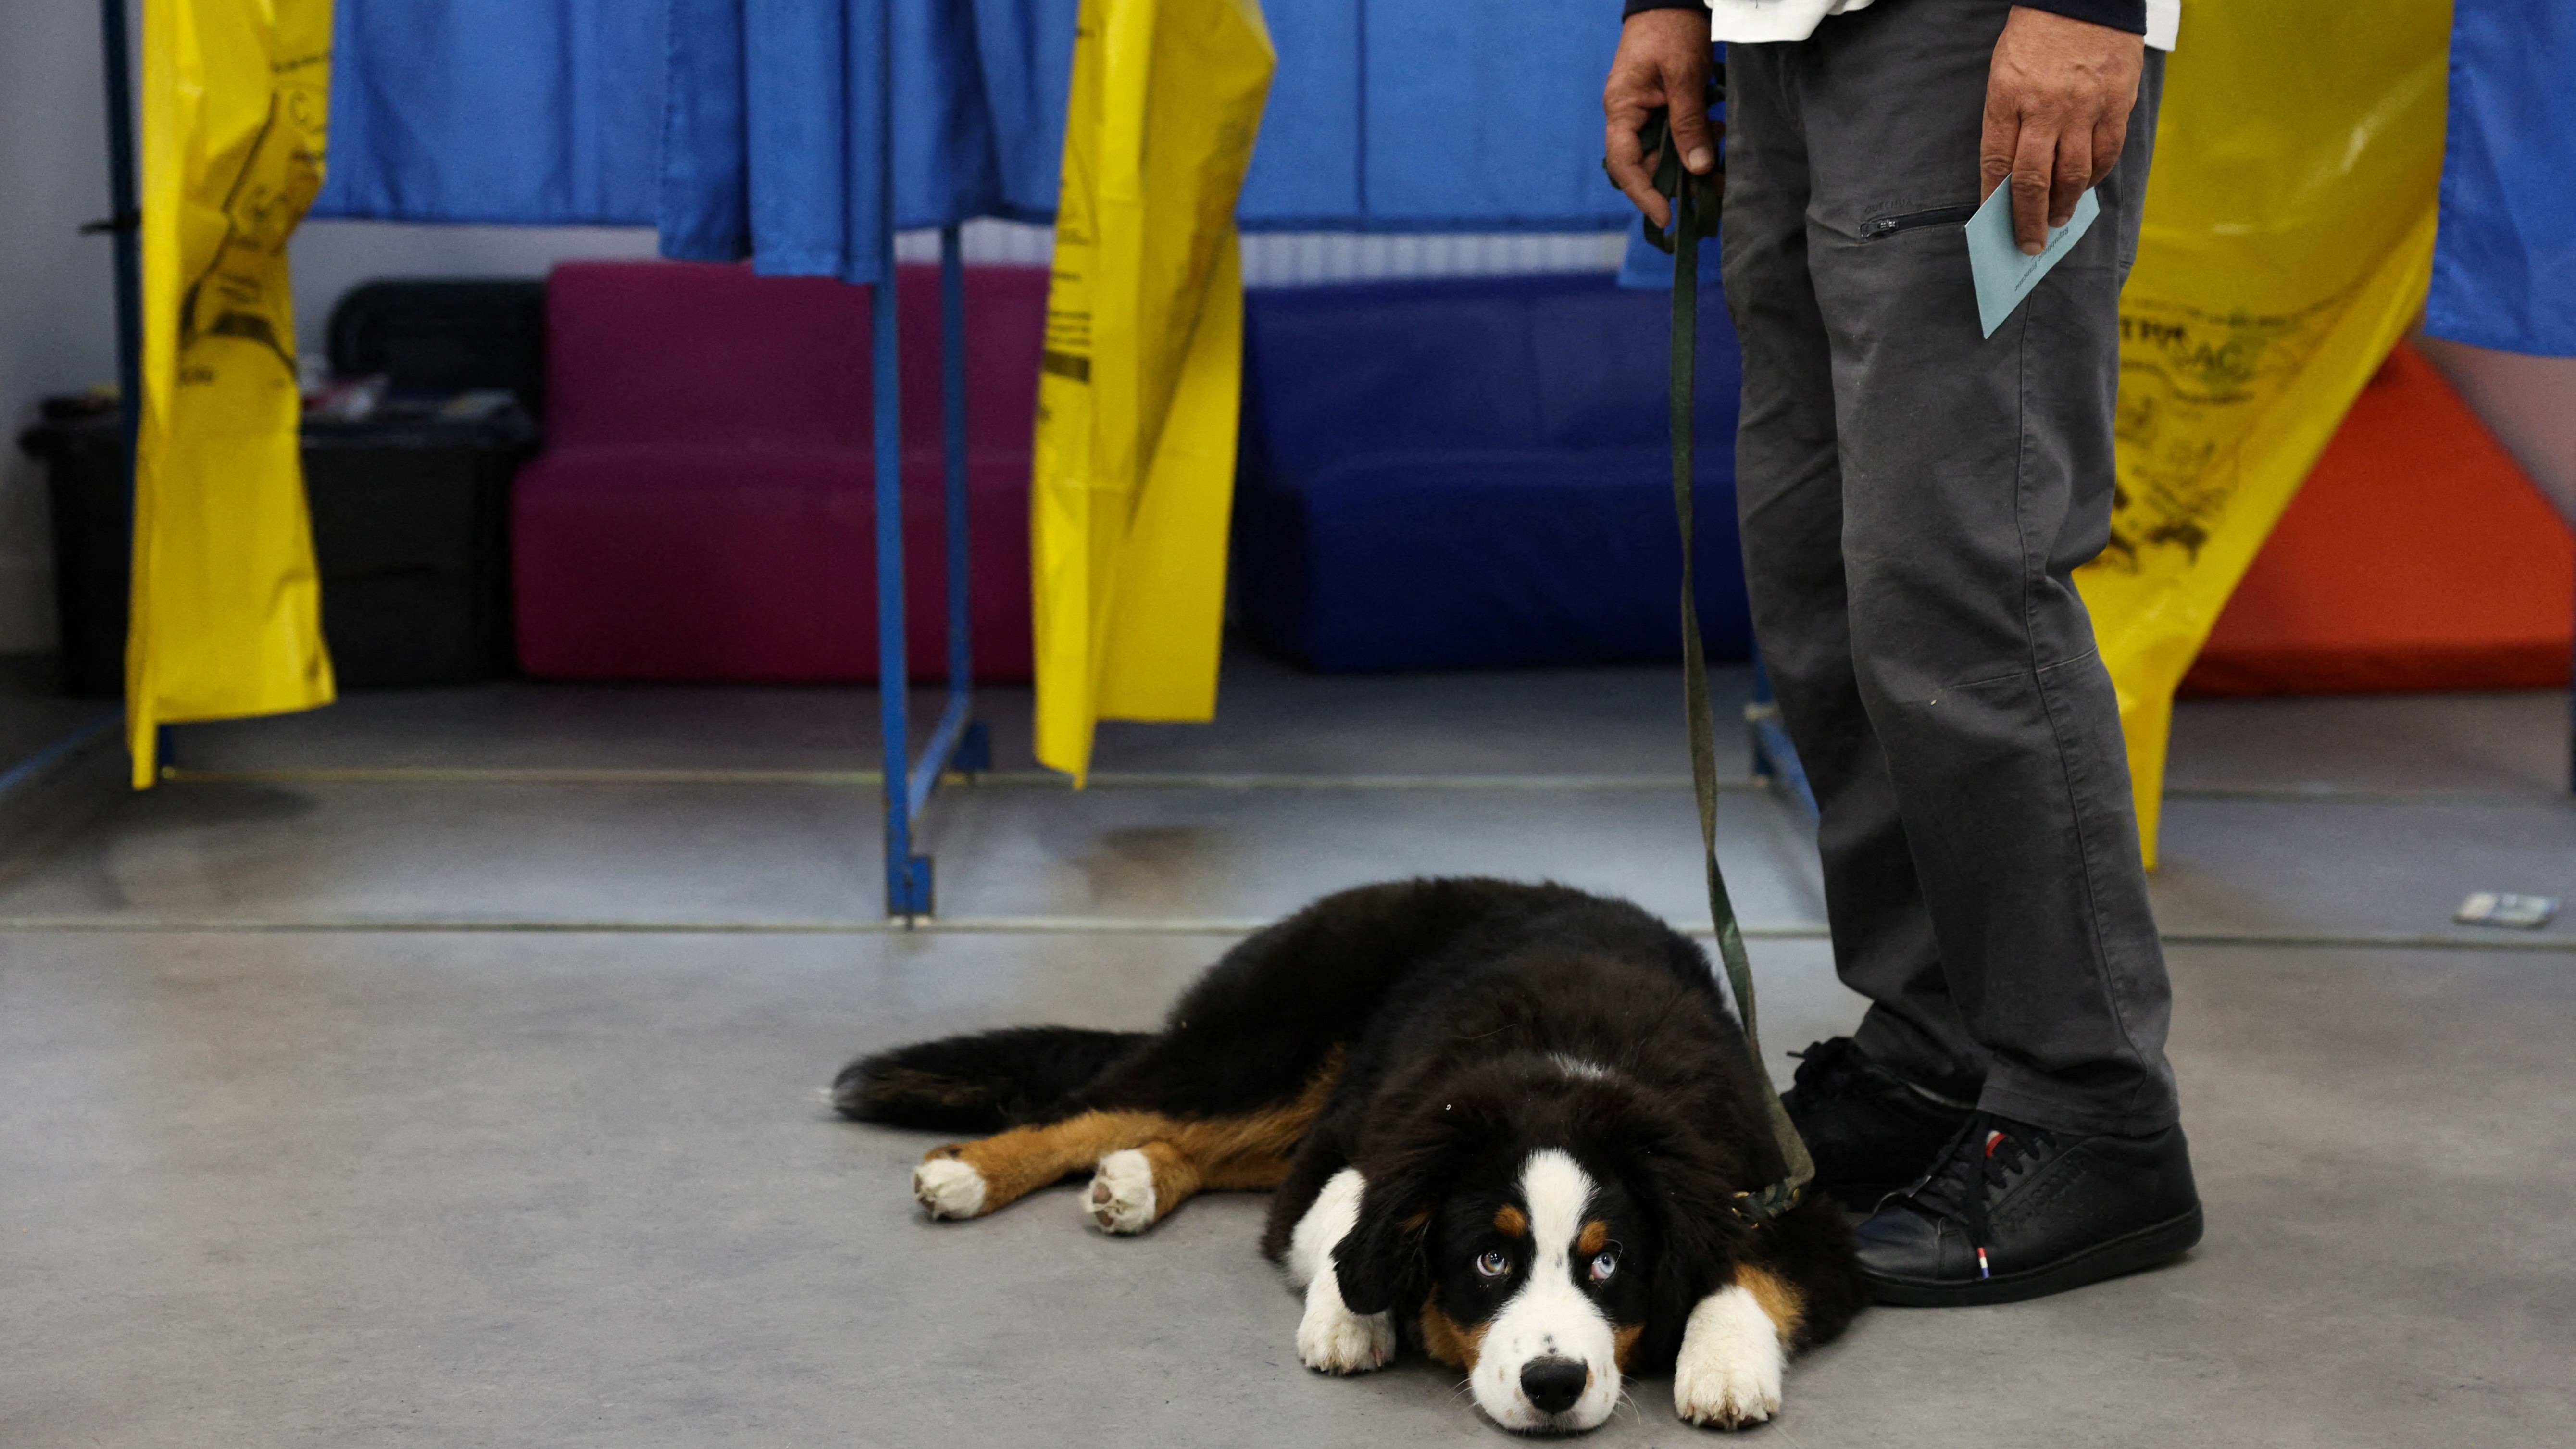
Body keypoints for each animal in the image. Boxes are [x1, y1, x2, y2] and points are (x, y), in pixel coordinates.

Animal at [834, 880, 1865, 1431]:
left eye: (1608, 1261)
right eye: (1488, 1260)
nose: (1553, 1384)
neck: (1567, 1067)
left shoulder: (1781, 1188)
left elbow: (1750, 1275)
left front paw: (1722, 1369)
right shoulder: (1362, 1138)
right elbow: (1342, 1213)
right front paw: (1346, 1320)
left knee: (1193, 1139)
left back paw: (1132, 1180)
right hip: (1265, 1050)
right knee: (1097, 1105)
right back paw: (967, 1171)